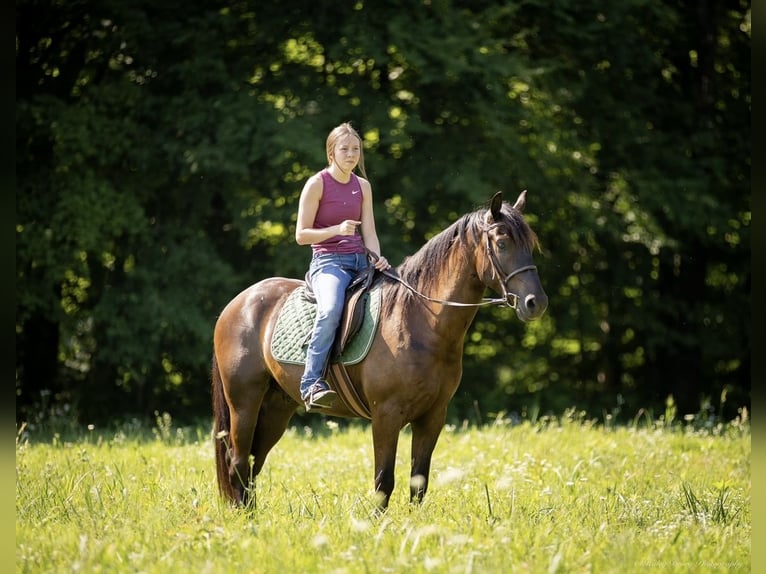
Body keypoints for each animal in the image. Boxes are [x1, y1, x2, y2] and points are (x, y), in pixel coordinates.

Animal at [213, 191, 548, 510]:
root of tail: (238, 303)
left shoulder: (432, 416)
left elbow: (419, 482)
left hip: (276, 408)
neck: (420, 320)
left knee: (252, 465)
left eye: (531, 244)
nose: (536, 303)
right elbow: (384, 480)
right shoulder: (386, 415)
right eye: (502, 243)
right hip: (244, 403)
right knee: (238, 463)